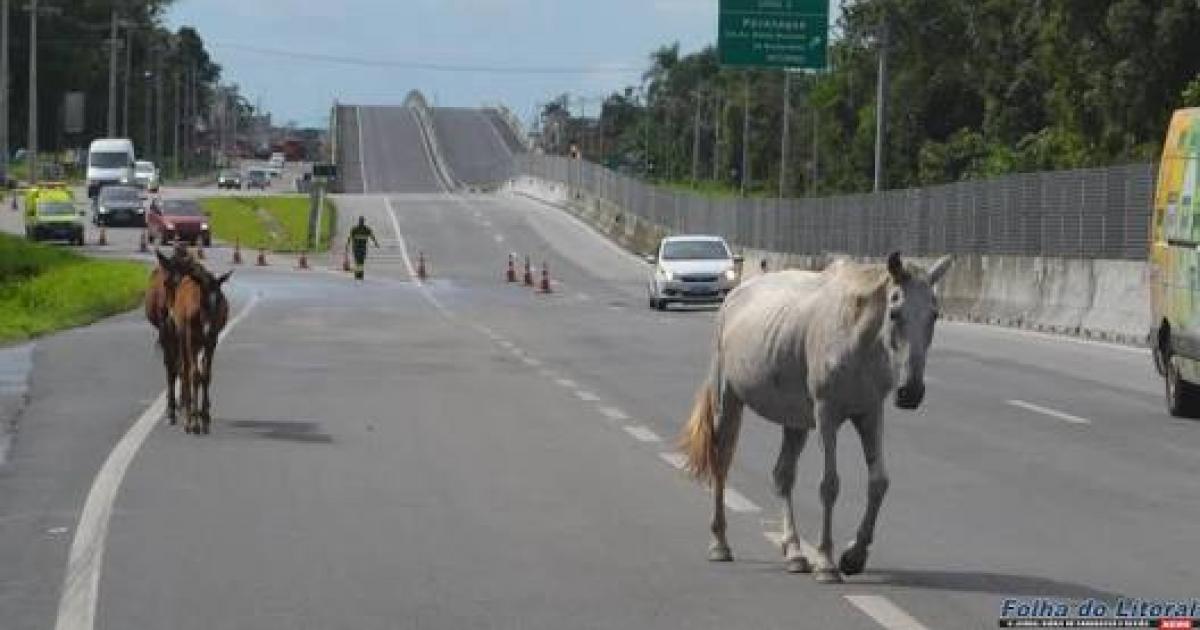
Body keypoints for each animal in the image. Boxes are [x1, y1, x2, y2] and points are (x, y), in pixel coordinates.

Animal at [681, 253, 950, 583]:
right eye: (895, 313)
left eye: (934, 315)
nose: (910, 392)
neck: (855, 337)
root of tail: (732, 297)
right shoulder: (826, 415)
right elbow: (829, 485)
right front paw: (826, 560)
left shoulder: (870, 412)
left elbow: (879, 482)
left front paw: (854, 555)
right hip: (727, 397)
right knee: (721, 463)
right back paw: (720, 543)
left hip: (795, 421)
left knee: (782, 475)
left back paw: (795, 552)